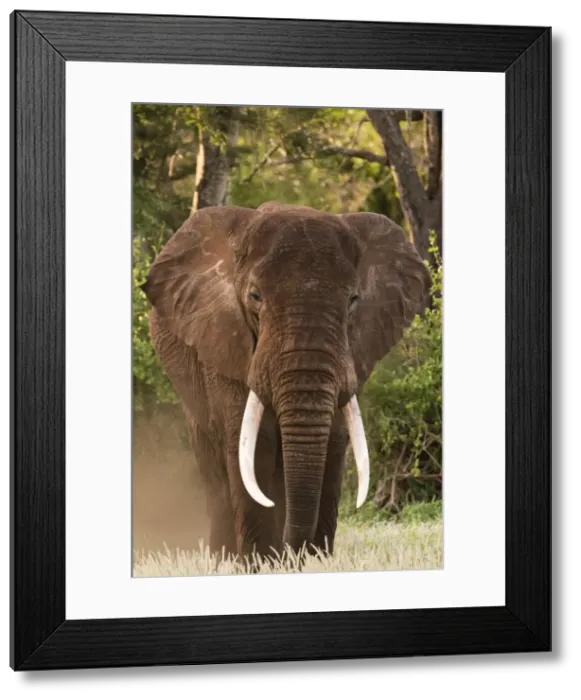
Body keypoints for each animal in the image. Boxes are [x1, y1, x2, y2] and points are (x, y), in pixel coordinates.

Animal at [140, 201, 430, 565]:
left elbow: (334, 440)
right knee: (214, 467)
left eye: (353, 300)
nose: (296, 553)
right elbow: (252, 445)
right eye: (254, 297)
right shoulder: (226, 346)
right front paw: (261, 565)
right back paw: (225, 561)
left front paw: (313, 563)